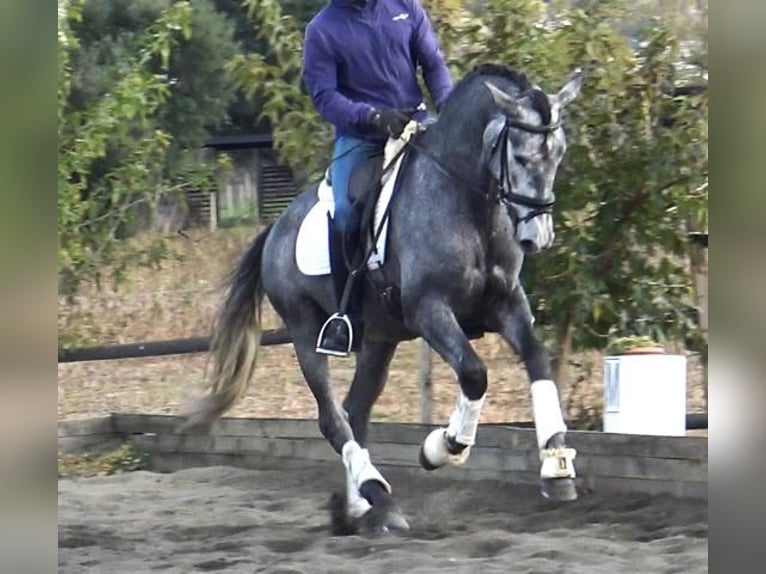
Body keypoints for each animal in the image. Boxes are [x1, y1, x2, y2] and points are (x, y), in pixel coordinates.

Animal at [186, 63, 584, 536]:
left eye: (559, 154)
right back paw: (379, 497)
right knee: (333, 419)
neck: (469, 206)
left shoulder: (506, 302)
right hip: (304, 332)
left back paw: (361, 509)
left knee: (356, 413)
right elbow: (474, 374)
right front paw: (443, 446)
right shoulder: (430, 309)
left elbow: (539, 361)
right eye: (521, 157)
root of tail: (276, 229)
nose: (536, 237)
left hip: (379, 340)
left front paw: (556, 467)